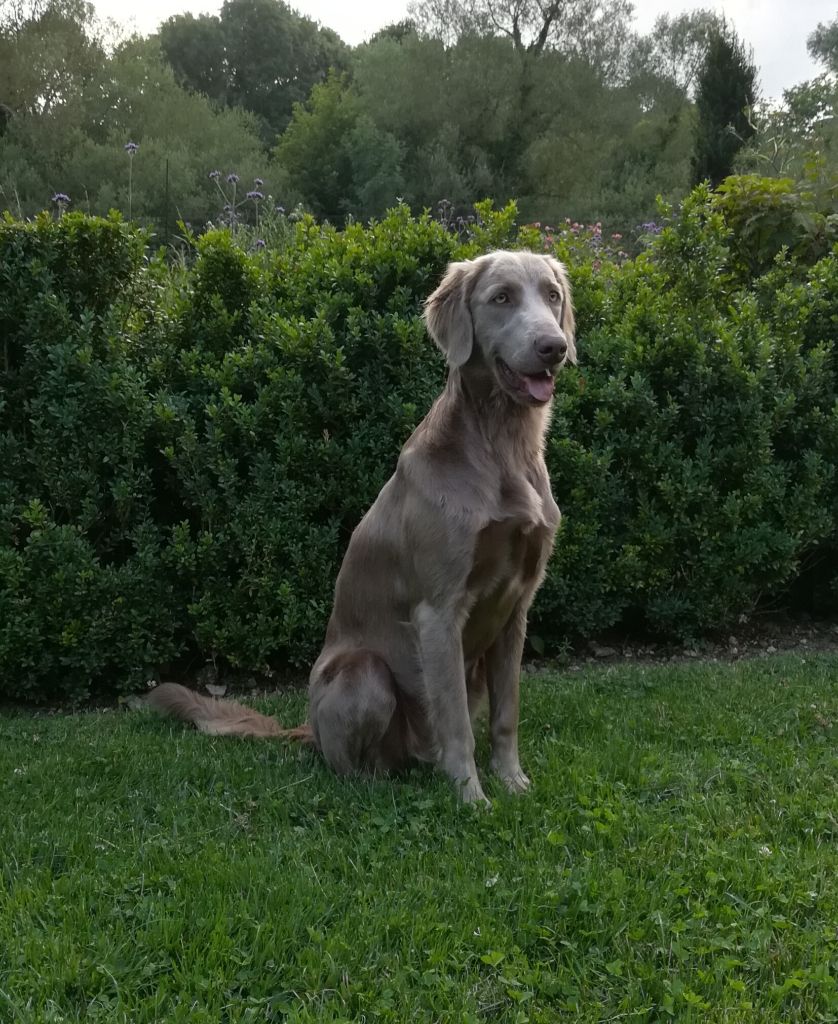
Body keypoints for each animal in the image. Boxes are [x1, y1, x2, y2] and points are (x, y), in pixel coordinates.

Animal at [146, 251, 569, 802]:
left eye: (552, 296)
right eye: (501, 298)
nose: (555, 347)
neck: (504, 448)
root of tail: (306, 728)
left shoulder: (516, 608)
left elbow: (506, 714)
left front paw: (513, 782)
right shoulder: (439, 612)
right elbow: (455, 722)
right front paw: (471, 797)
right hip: (364, 671)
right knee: (350, 766)